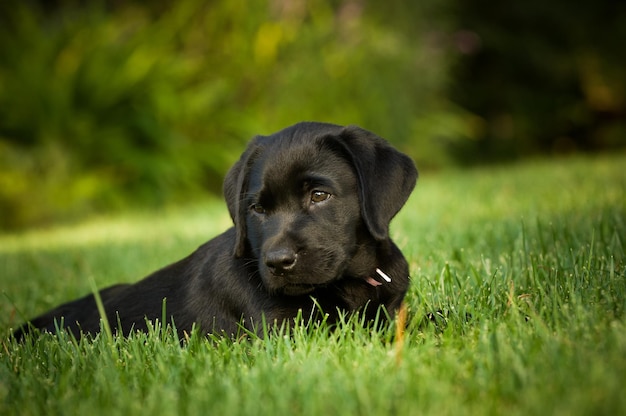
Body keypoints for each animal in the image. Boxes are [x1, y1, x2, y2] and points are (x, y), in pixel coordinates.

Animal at [13, 122, 414, 340]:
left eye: (319, 195)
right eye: (258, 209)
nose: (277, 262)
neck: (353, 281)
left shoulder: (394, 310)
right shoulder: (286, 331)